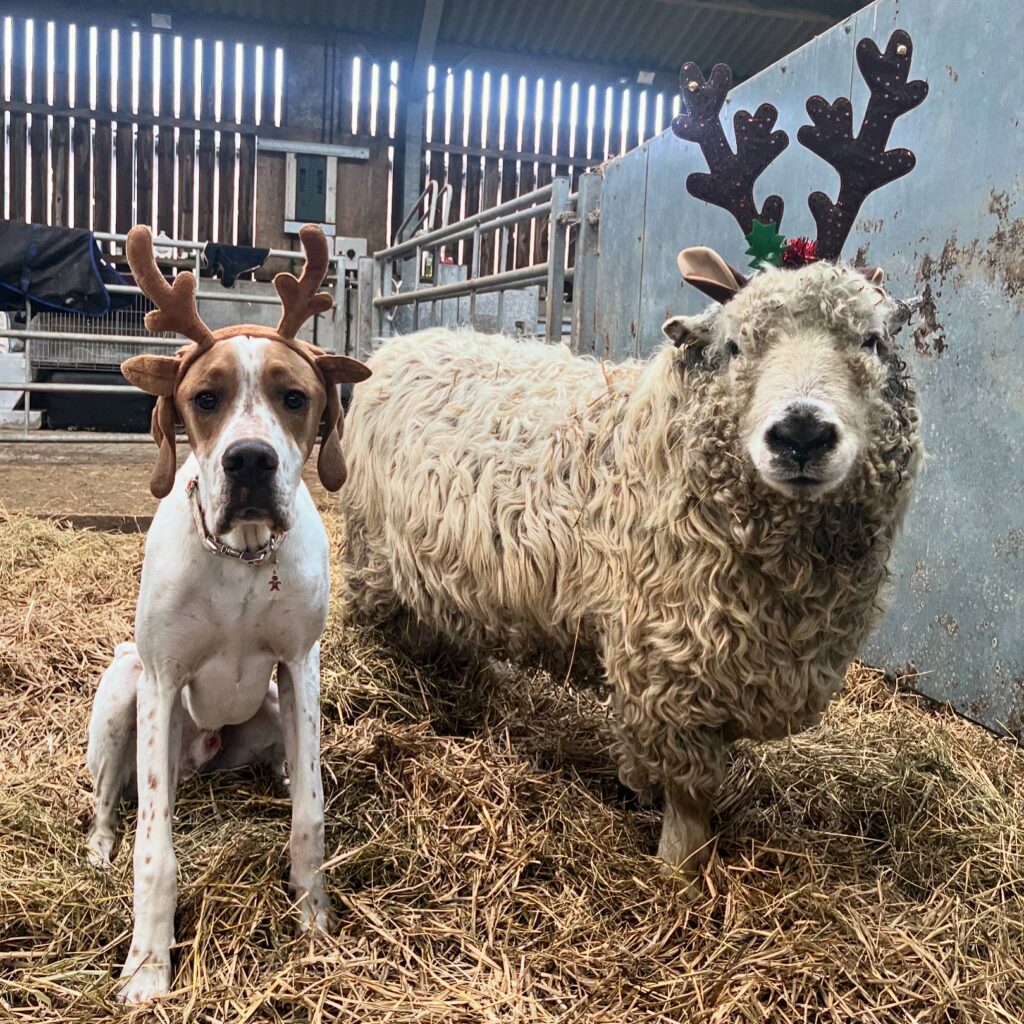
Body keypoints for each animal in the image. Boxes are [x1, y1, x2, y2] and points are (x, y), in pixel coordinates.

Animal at [86, 224, 370, 999]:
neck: (241, 557)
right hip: (120, 695)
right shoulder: (159, 679)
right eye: (205, 398)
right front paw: (147, 968)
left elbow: (310, 816)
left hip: (269, 713)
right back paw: (98, 846)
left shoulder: (299, 669)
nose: (249, 460)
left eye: (295, 397)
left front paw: (315, 924)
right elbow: (154, 849)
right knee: (114, 801)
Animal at [339, 262, 925, 880]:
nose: (802, 435)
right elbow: (689, 793)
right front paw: (680, 873)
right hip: (369, 552)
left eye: (872, 341)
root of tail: (397, 343)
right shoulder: (668, 668)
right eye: (735, 346)